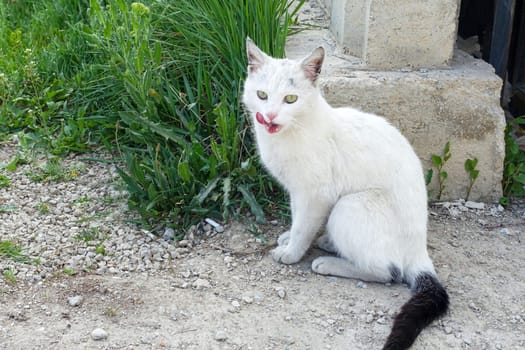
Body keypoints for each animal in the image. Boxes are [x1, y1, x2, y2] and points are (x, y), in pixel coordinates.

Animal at [244, 38, 448, 350]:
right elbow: (296, 218)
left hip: (349, 205)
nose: (269, 116)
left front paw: (291, 252)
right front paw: (288, 238)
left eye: (290, 99)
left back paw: (328, 262)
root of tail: (419, 250)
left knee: (387, 271)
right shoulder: (297, 190)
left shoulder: (315, 193)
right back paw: (329, 243)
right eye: (262, 95)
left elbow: (303, 226)